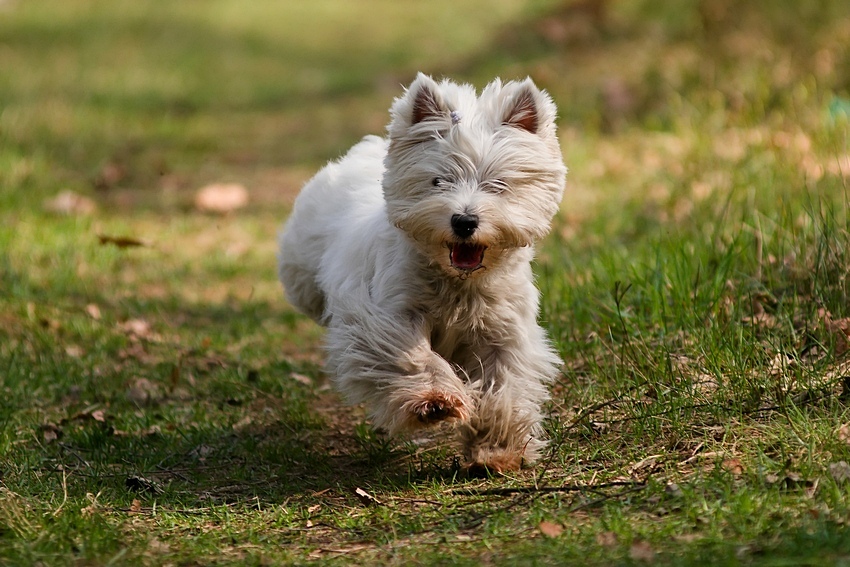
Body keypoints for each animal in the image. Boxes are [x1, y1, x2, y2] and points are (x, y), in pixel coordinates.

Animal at [282, 73, 568, 472]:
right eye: (438, 181)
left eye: (498, 184)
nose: (464, 221)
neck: (457, 282)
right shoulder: (390, 314)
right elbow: (413, 355)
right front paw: (436, 401)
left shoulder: (503, 332)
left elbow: (503, 386)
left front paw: (496, 449)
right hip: (302, 273)